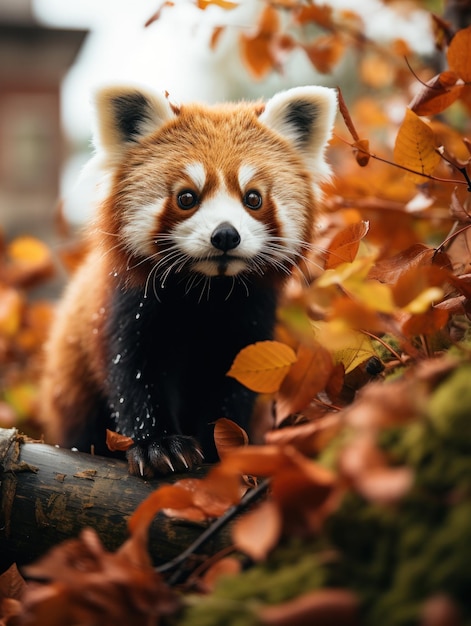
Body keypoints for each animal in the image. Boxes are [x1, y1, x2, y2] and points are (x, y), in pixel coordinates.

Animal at [39, 81, 336, 472]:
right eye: (186, 197)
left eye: (253, 198)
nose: (225, 235)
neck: (205, 291)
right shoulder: (127, 307)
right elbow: (135, 375)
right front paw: (159, 445)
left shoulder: (249, 319)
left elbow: (233, 385)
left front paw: (221, 446)